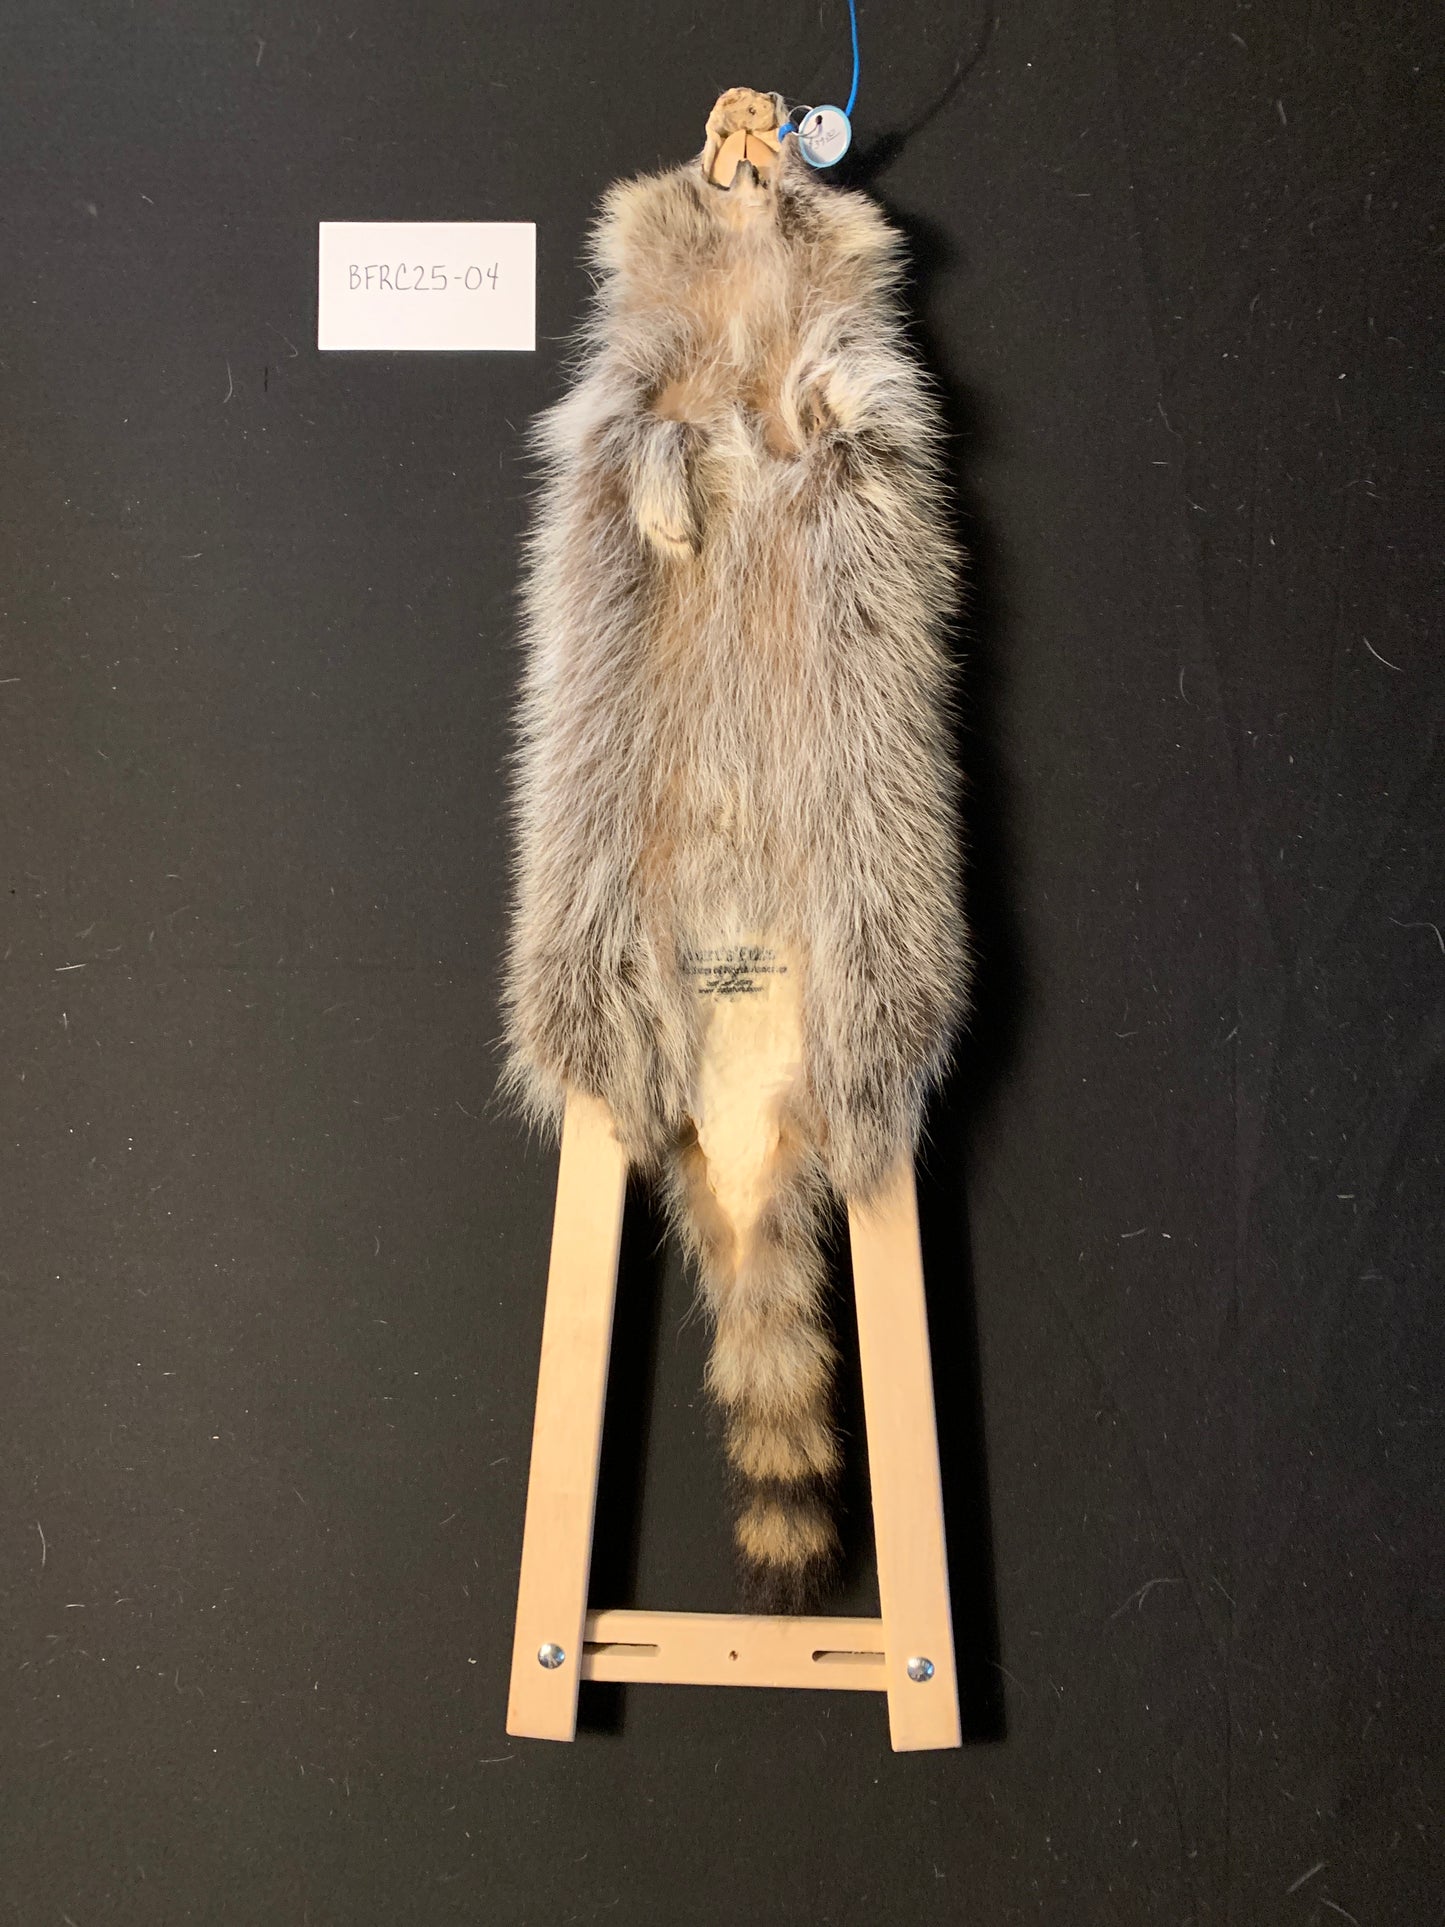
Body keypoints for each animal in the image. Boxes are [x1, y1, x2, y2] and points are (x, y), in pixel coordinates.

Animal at [503, 89, 968, 1607]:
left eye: (805, 140)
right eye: (715, 153)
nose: (752, 113)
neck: (749, 278)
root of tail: (748, 1126)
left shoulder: (858, 358)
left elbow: (854, 398)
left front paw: (810, 416)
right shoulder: (631, 378)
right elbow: (638, 436)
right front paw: (672, 482)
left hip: (875, 917)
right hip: (593, 925)